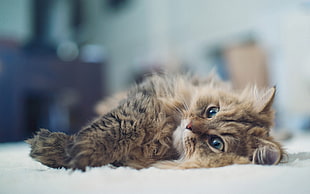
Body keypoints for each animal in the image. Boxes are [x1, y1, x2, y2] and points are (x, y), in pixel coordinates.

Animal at [26, 73, 284, 171]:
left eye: (216, 143)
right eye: (212, 111)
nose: (189, 126)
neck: (163, 138)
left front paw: (71, 154)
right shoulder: (143, 103)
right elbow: (115, 127)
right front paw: (58, 147)